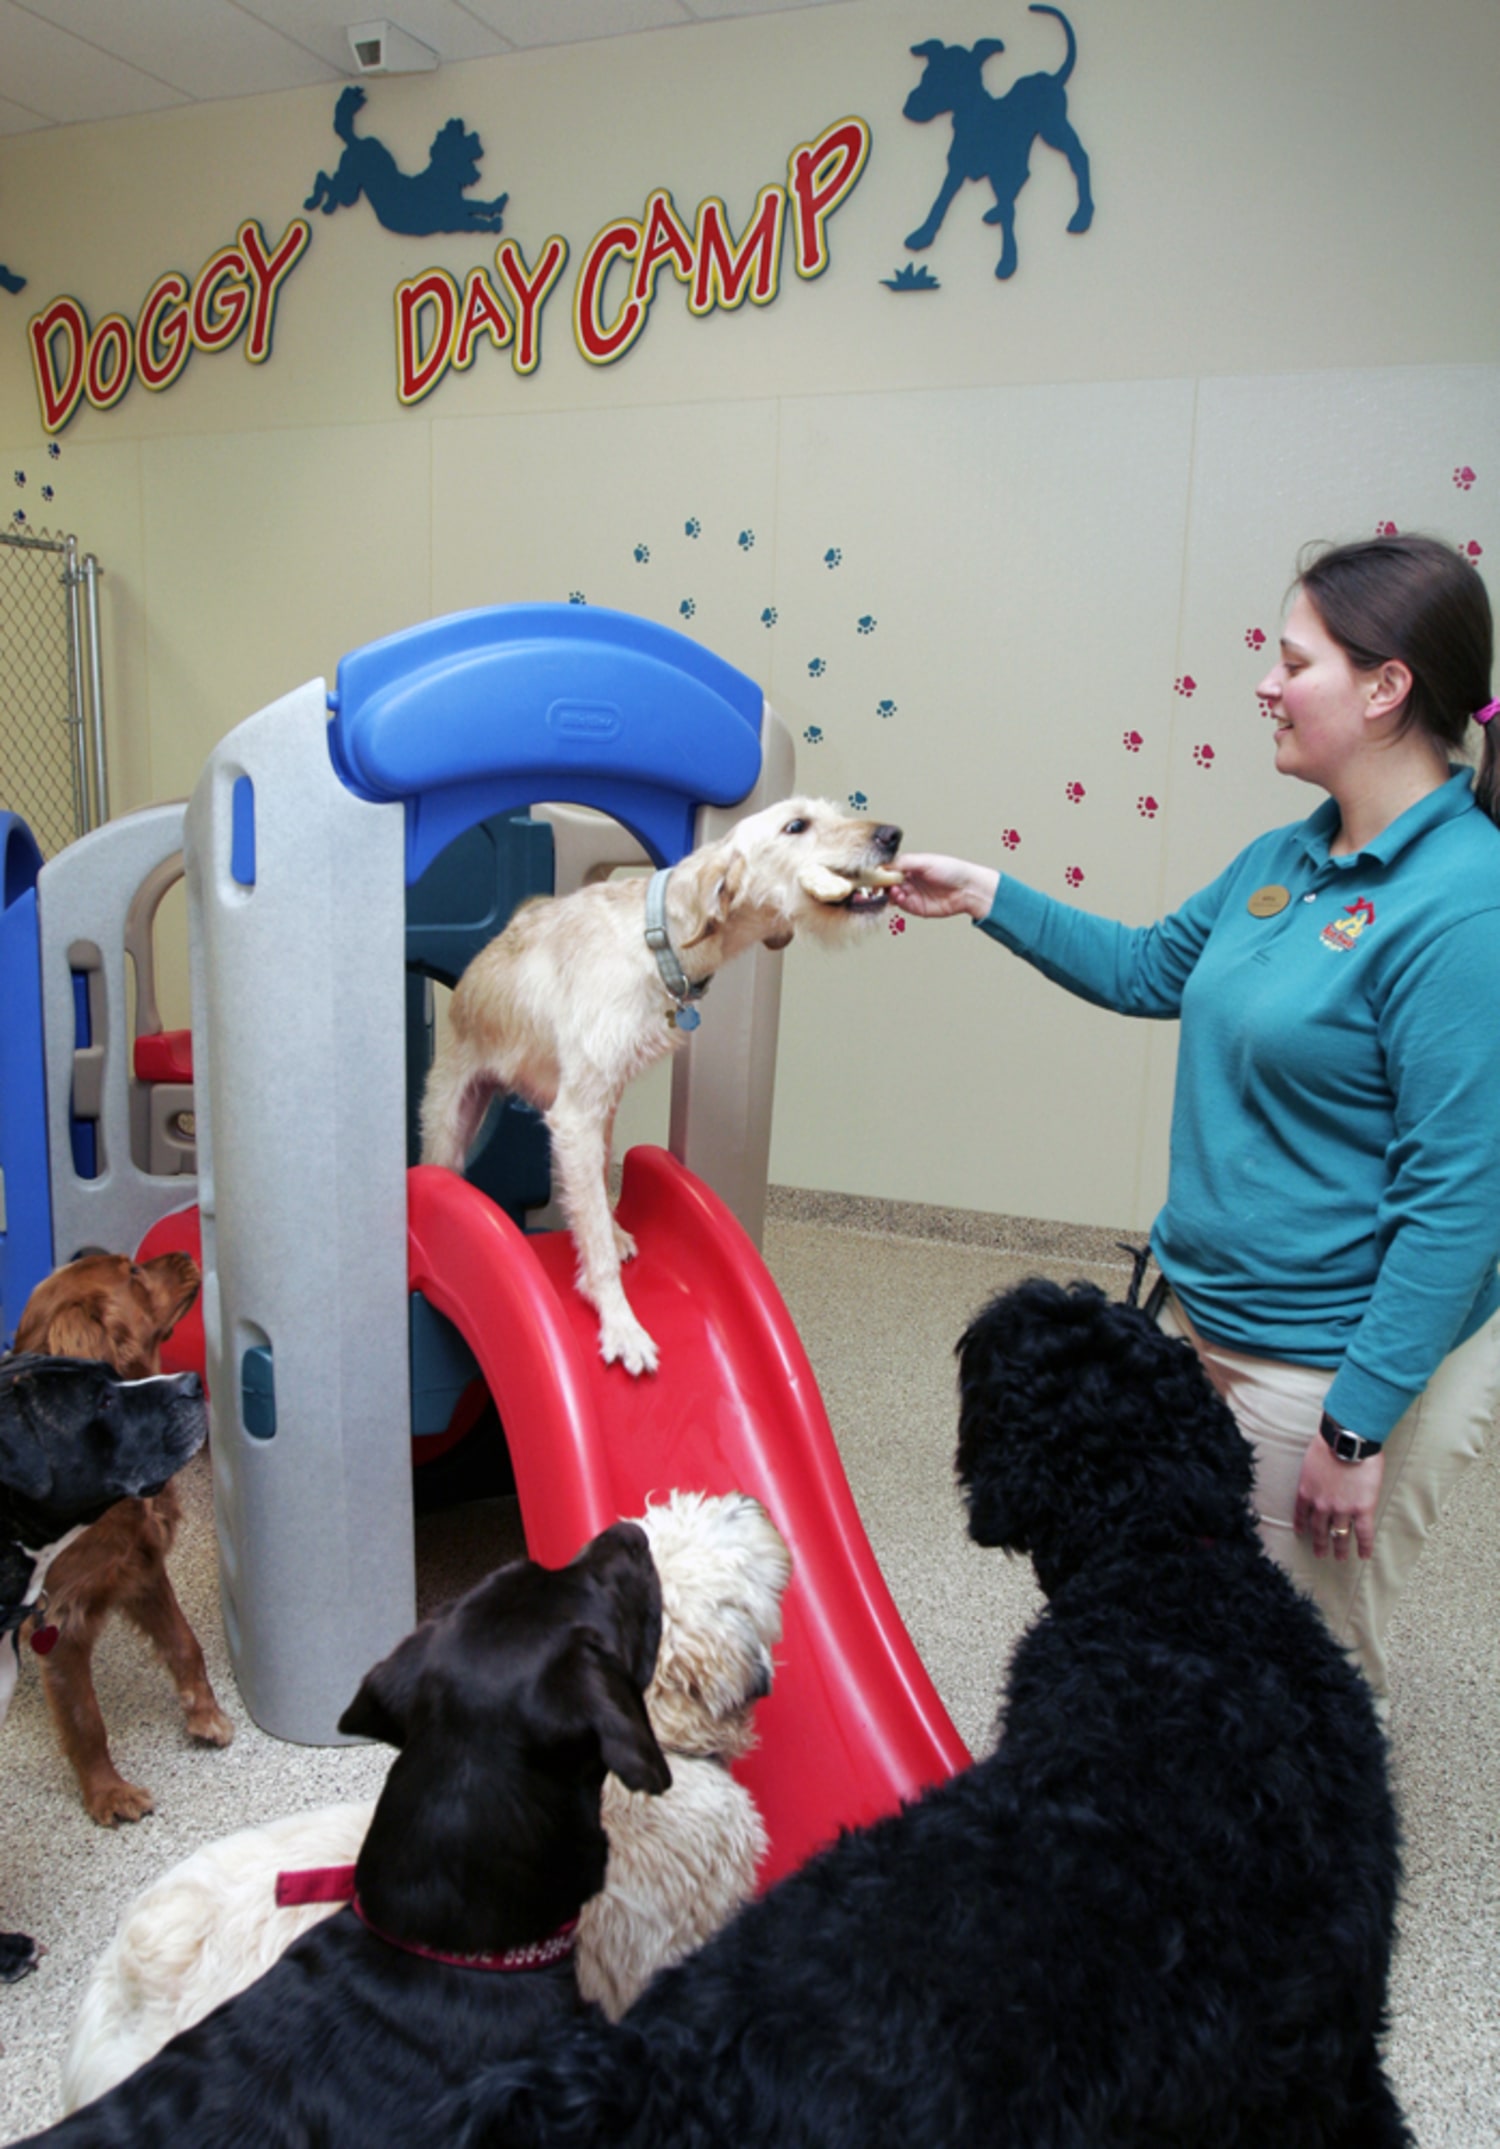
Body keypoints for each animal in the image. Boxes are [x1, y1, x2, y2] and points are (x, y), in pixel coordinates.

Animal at [11, 1255, 232, 1822]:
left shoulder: (141, 1568)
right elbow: (84, 1716)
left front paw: (205, 1716)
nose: (185, 1255)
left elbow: (185, 1644)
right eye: (131, 1272)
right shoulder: (59, 1618)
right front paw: (109, 1794)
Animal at [414, 795, 893, 1375]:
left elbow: (595, 1195)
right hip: (451, 1117)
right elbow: (594, 1240)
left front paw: (614, 1235)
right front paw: (620, 1322)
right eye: (796, 825)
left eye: (840, 811)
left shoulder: (599, 1106)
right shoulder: (576, 1114)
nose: (892, 836)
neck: (658, 938)